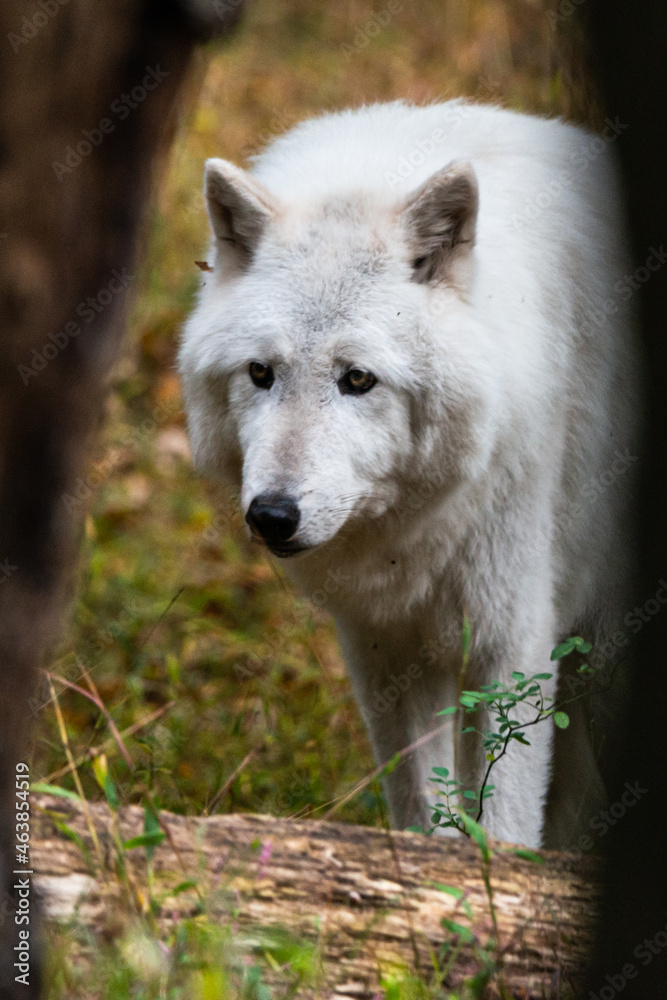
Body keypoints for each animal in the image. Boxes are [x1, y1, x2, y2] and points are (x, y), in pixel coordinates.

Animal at [179, 101, 640, 848]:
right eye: (260, 372)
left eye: (357, 379)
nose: (272, 515)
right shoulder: (384, 648)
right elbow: (424, 811)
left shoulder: (511, 639)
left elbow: (503, 824)